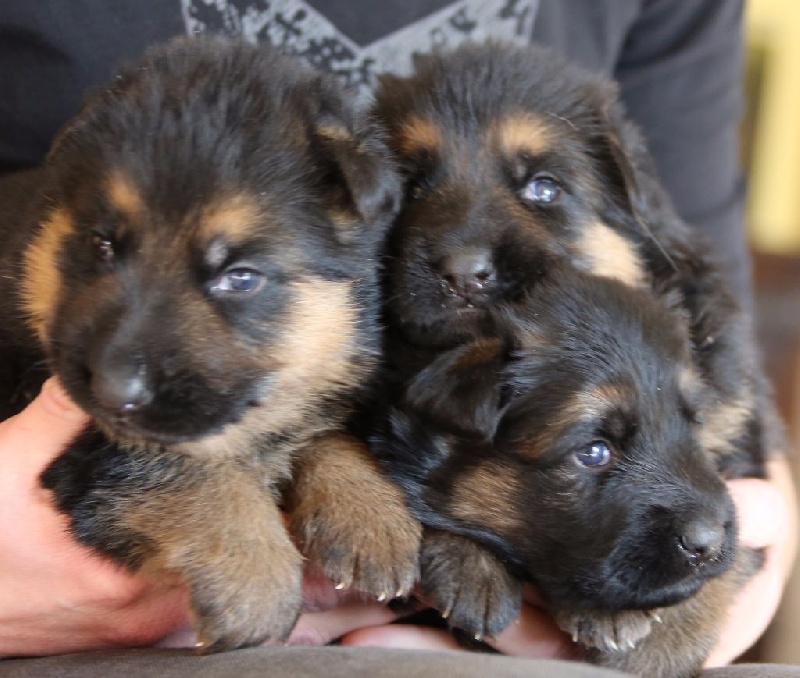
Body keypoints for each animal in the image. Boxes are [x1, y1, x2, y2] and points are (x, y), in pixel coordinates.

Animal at [0, 37, 422, 652]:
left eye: (240, 277)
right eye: (102, 245)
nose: (113, 389)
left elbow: (317, 430)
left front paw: (369, 514)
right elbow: (181, 466)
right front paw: (253, 575)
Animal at [372, 43, 780, 678]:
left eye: (544, 188)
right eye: (411, 189)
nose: (463, 274)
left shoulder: (733, 431)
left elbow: (724, 534)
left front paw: (660, 638)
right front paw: (468, 561)